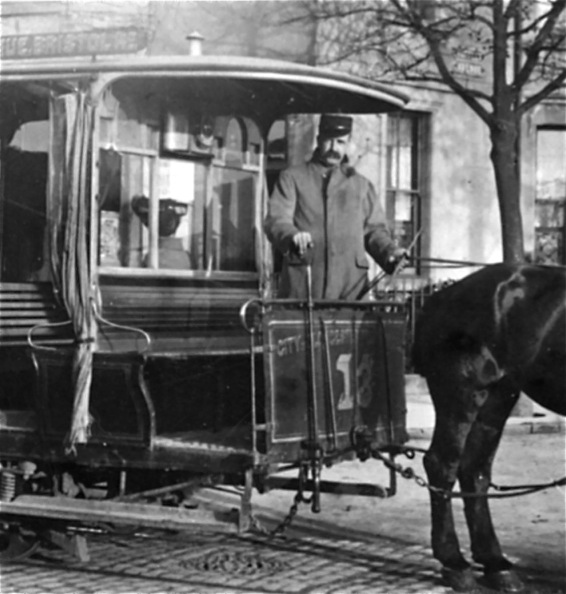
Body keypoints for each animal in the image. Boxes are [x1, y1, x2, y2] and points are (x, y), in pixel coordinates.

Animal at [412, 262, 566, 588]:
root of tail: (443, 294)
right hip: (463, 394)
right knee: (442, 465)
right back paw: (455, 563)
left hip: (498, 398)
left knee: (475, 470)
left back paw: (495, 563)